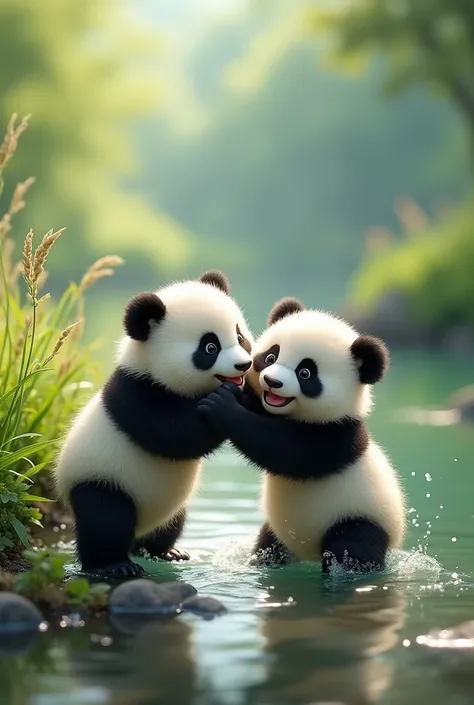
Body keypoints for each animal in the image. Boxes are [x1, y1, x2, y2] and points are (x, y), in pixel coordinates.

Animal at [53, 270, 254, 576]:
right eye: (210, 347)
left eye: (240, 336)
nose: (244, 365)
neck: (148, 366)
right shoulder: (137, 393)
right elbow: (173, 435)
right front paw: (224, 401)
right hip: (100, 477)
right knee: (105, 518)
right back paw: (114, 565)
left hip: (170, 509)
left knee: (171, 523)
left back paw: (167, 551)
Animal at [198, 296, 406, 572]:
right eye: (271, 356)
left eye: (305, 373)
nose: (272, 382)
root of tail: (307, 552)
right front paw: (234, 393)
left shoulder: (337, 435)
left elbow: (286, 450)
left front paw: (222, 406)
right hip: (278, 530)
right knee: (269, 545)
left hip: (361, 515)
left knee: (352, 548)